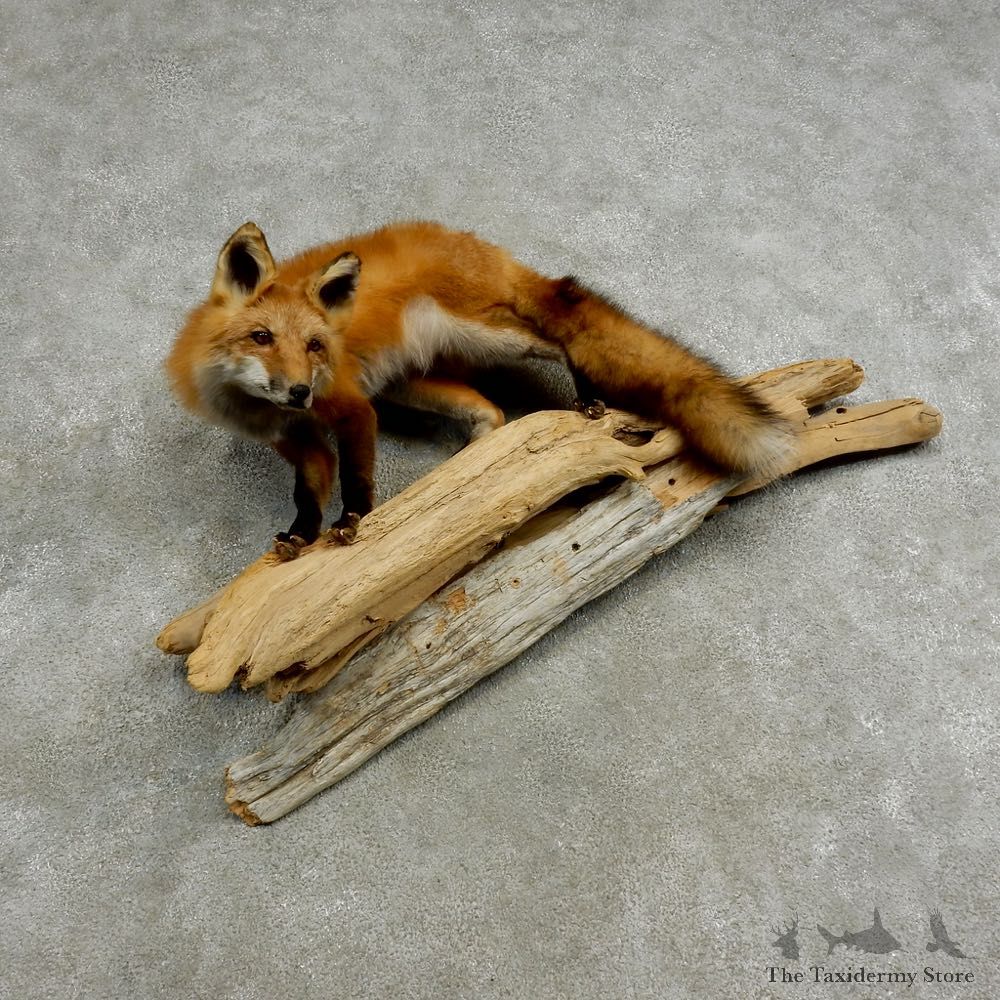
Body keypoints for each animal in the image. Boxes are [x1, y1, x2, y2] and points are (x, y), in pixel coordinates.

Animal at [166, 220, 792, 554]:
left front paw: (353, 521)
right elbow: (307, 492)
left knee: (558, 340)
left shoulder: (353, 411)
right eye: (262, 337)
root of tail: (482, 247)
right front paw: (301, 535)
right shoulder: (296, 439)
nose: (300, 390)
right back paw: (467, 477)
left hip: (489, 338)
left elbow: (356, 478)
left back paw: (585, 394)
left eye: (315, 346)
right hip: (411, 383)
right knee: (490, 412)